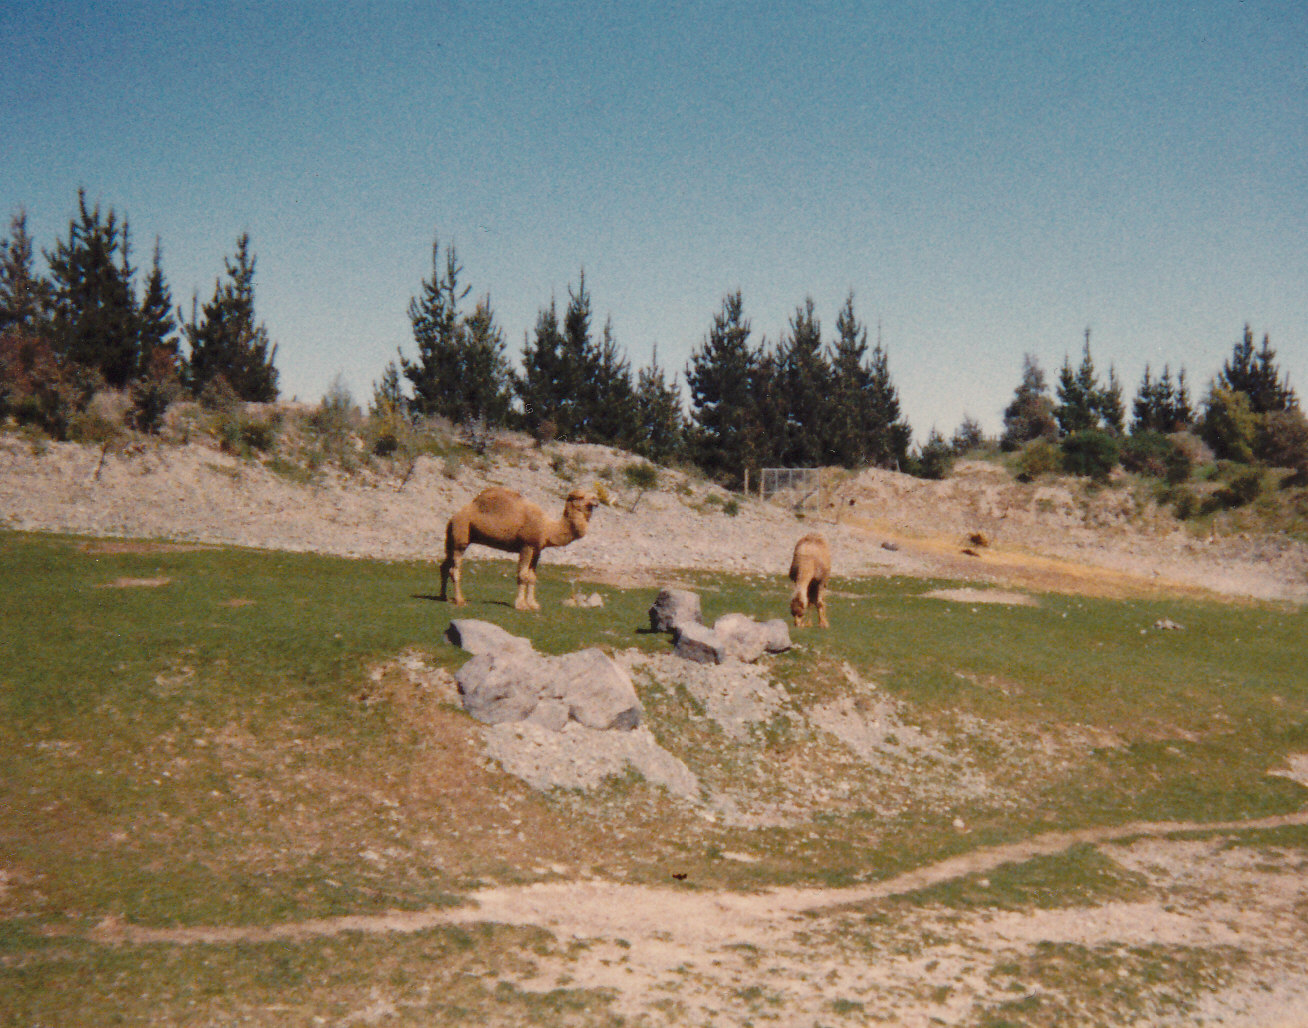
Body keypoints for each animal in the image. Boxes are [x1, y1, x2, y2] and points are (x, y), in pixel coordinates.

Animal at [439, 487, 601, 611]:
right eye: (580, 496)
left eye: (592, 494)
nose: (596, 499)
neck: (547, 528)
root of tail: (452, 518)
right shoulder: (526, 546)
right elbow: (523, 575)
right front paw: (521, 605)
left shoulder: (537, 550)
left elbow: (532, 577)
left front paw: (533, 604)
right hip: (461, 537)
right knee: (455, 569)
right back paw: (460, 600)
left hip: (452, 539)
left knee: (445, 565)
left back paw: (443, 596)